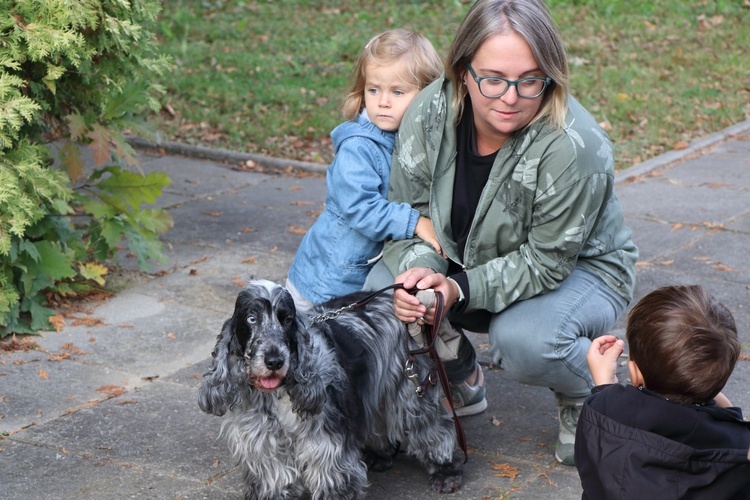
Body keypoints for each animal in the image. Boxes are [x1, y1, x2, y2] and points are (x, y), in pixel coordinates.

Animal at [198, 280, 464, 498]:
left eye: (287, 319)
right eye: (251, 319)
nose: (274, 361)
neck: (276, 396)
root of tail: (395, 298)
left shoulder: (326, 448)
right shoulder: (264, 449)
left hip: (410, 390)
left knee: (435, 429)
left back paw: (445, 471)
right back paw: (381, 455)